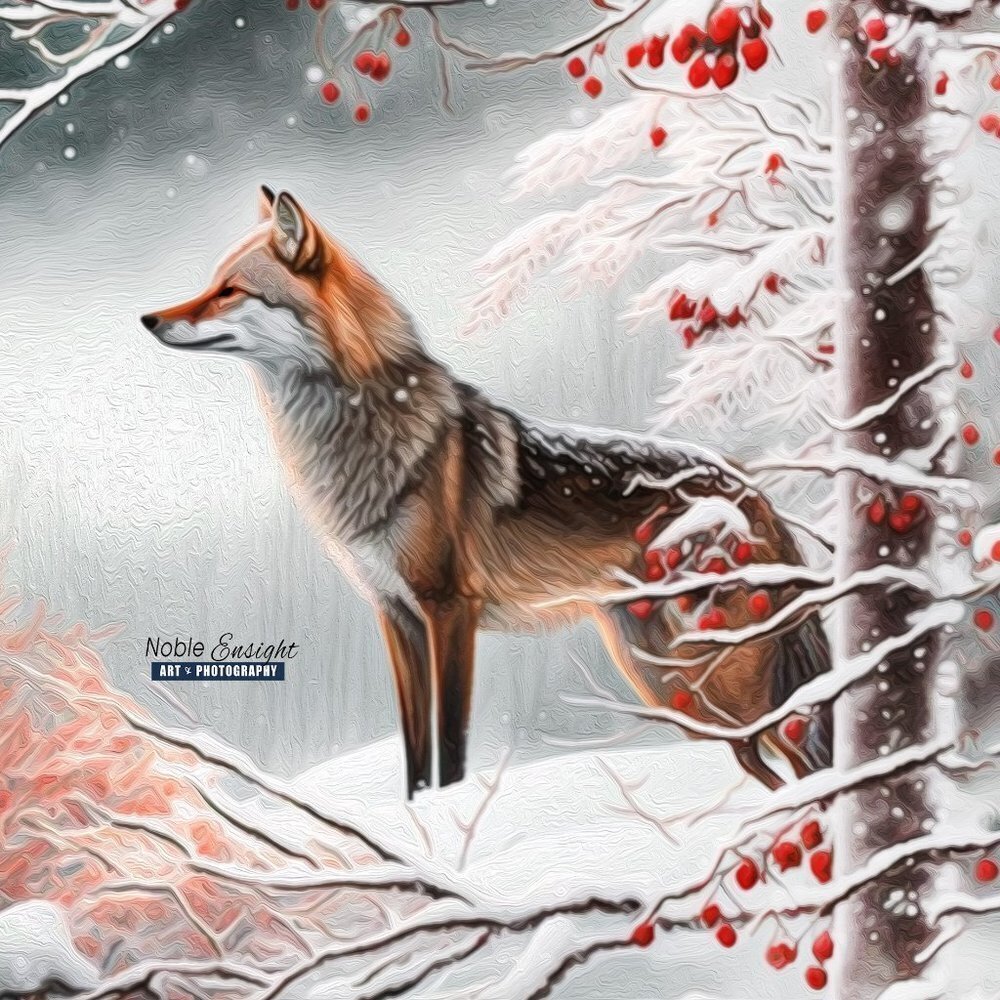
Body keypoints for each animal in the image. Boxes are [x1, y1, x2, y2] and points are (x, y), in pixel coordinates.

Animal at [141, 187, 832, 798]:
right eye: (212, 282)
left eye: (231, 290)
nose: (149, 319)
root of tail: (751, 489)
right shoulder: (396, 618)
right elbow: (416, 755)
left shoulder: (451, 612)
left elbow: (451, 749)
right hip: (671, 682)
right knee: (777, 760)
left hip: (716, 681)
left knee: (801, 751)